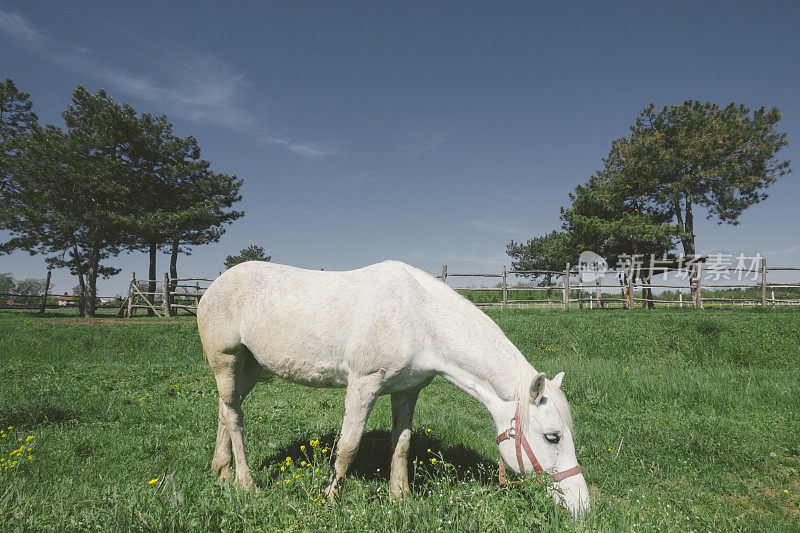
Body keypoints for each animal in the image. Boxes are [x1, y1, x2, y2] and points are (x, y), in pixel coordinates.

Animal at [198, 260, 592, 512]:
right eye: (553, 437)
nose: (582, 506)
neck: (419, 317)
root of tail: (212, 287)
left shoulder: (407, 390)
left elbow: (401, 444)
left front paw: (399, 498)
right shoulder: (363, 386)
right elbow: (348, 447)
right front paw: (330, 500)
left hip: (249, 369)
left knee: (225, 409)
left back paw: (221, 472)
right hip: (227, 360)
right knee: (235, 418)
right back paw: (245, 483)